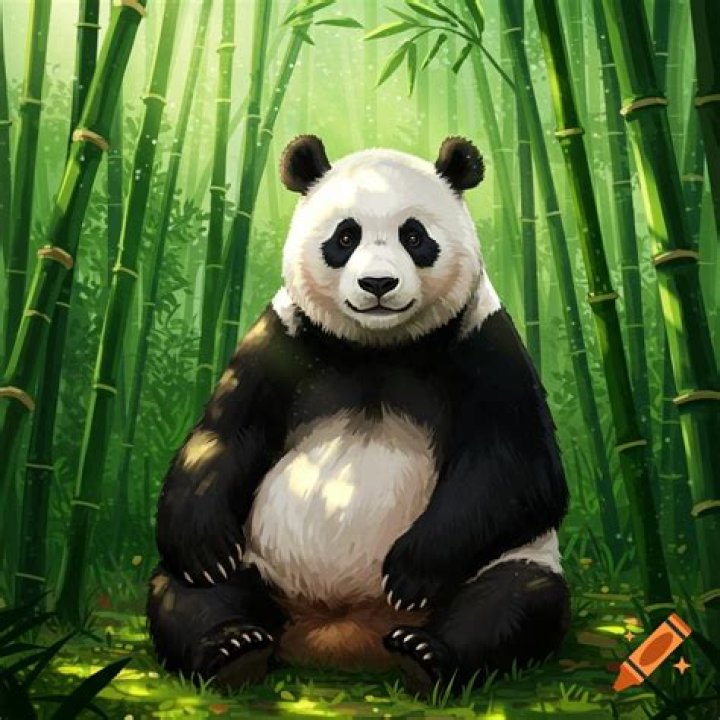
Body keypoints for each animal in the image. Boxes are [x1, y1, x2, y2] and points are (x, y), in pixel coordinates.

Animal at [147, 135, 570, 694]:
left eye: (414, 236)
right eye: (345, 236)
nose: (378, 284)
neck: (378, 348)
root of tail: (339, 631)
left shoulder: (484, 341)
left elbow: (519, 466)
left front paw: (412, 570)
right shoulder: (282, 335)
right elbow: (225, 433)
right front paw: (204, 548)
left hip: (509, 559)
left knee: (515, 597)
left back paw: (425, 654)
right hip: (261, 567)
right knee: (188, 594)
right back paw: (232, 647)